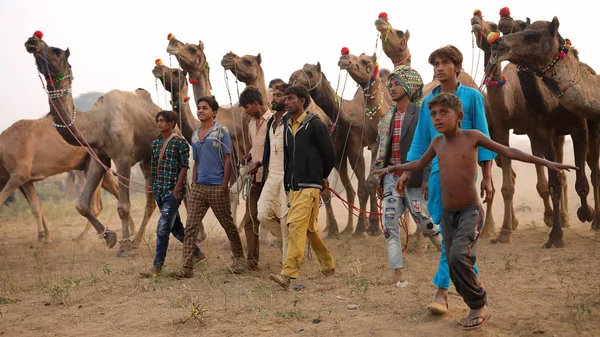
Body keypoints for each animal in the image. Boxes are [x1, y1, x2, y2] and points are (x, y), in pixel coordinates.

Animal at [25, 32, 157, 256]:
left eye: (56, 51)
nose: (32, 40)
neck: (97, 124)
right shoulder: (98, 157)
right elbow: (80, 204)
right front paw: (110, 237)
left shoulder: (123, 158)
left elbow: (123, 206)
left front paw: (124, 247)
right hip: (147, 159)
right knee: (152, 200)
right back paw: (138, 241)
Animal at [474, 9, 596, 244]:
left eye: (493, 25)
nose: (475, 19)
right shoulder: (507, 130)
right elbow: (512, 186)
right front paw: (505, 232)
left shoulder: (551, 129)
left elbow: (553, 183)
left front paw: (565, 217)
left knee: (593, 170)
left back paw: (585, 221)